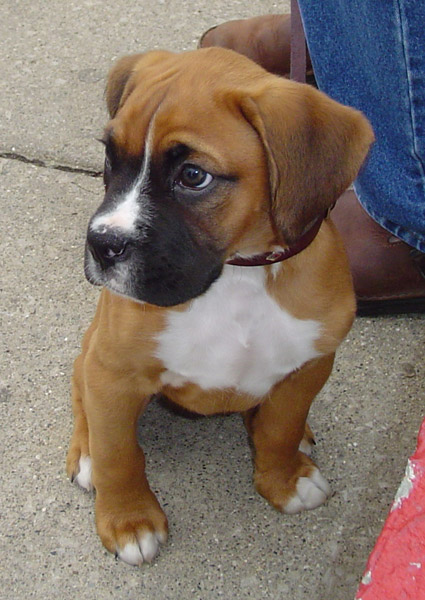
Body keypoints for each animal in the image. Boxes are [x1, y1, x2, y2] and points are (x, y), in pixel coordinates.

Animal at [65, 48, 372, 568]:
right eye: (110, 157)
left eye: (193, 176)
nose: (102, 245)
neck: (238, 276)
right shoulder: (113, 372)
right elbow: (118, 453)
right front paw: (127, 519)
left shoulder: (310, 363)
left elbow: (280, 427)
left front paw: (284, 478)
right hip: (91, 353)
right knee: (82, 394)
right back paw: (84, 452)